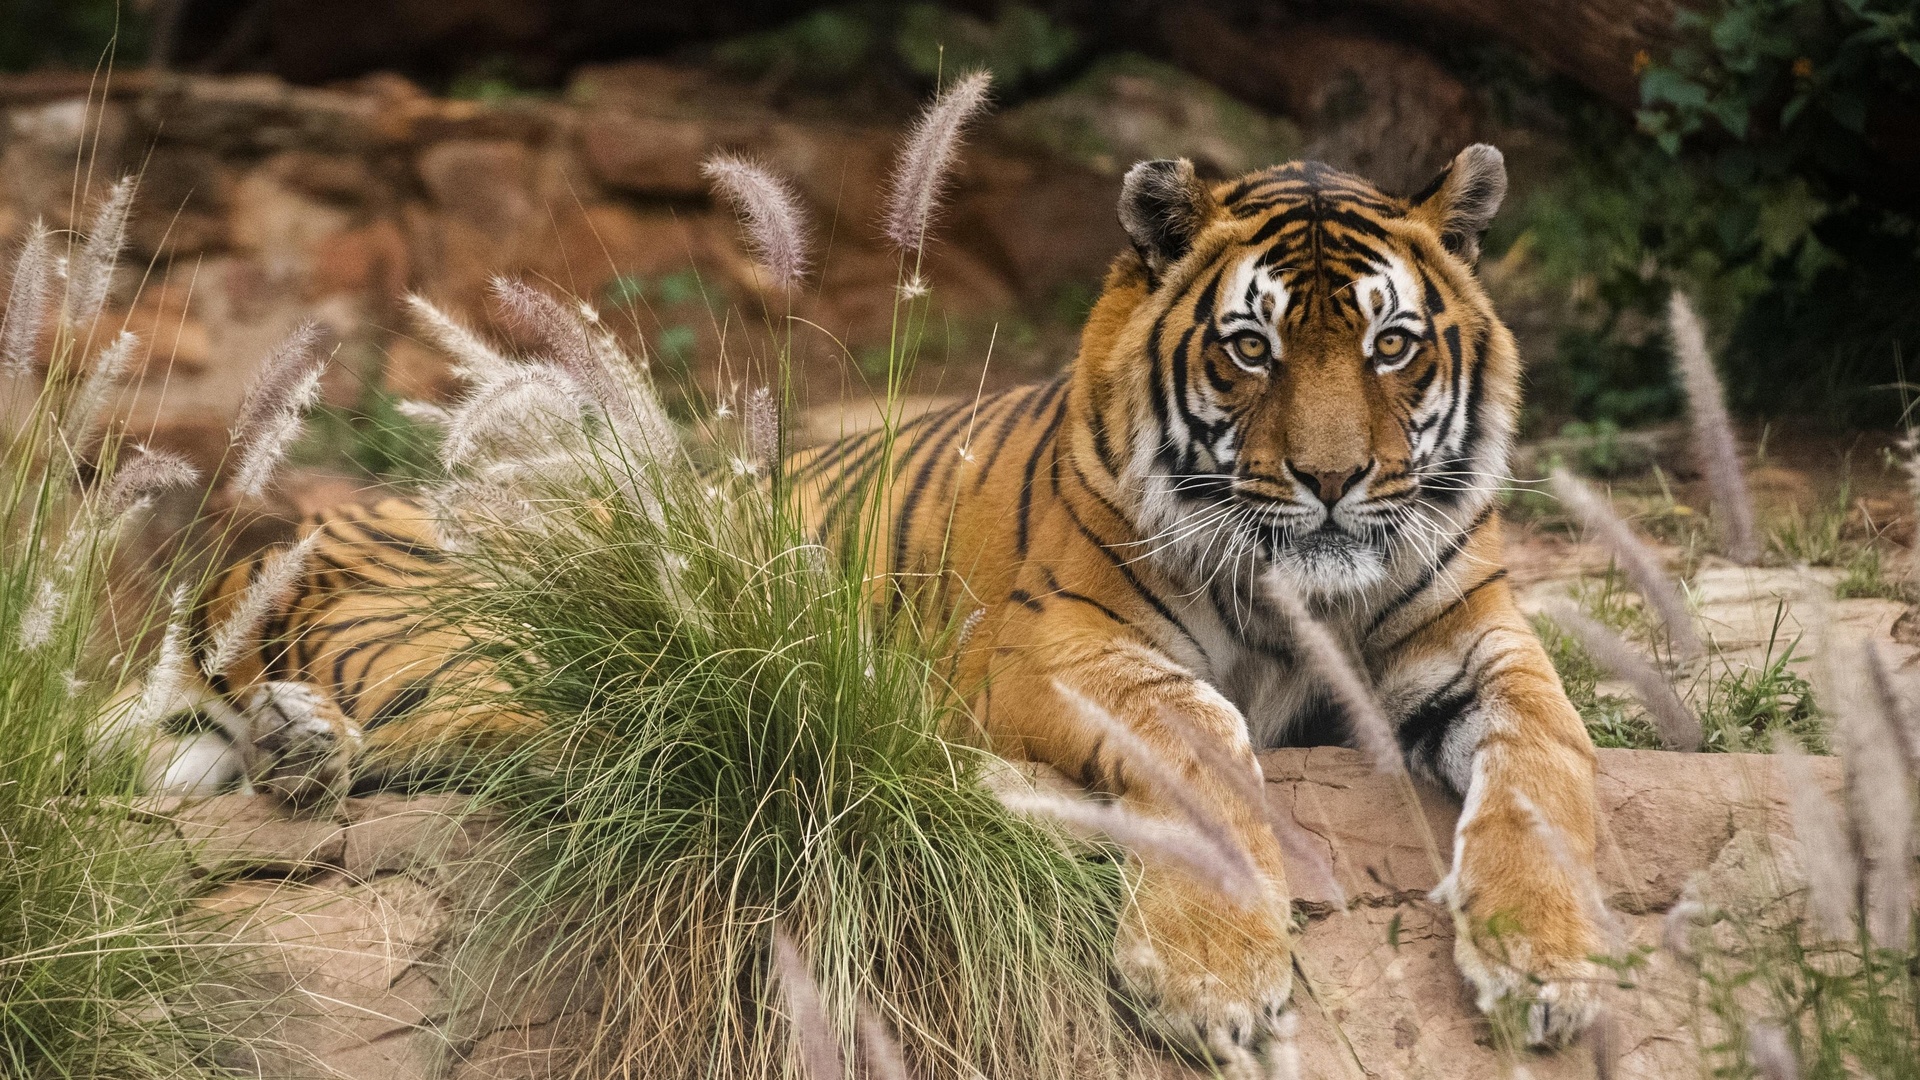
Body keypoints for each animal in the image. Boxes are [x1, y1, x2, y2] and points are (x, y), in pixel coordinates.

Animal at [153, 147, 1605, 1060]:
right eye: (1249, 348)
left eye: (1392, 344)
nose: (1333, 481)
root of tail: (298, 535)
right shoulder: (1055, 647)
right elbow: (1208, 742)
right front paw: (1211, 976)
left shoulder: (1483, 642)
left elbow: (1551, 763)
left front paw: (1553, 964)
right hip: (496, 633)